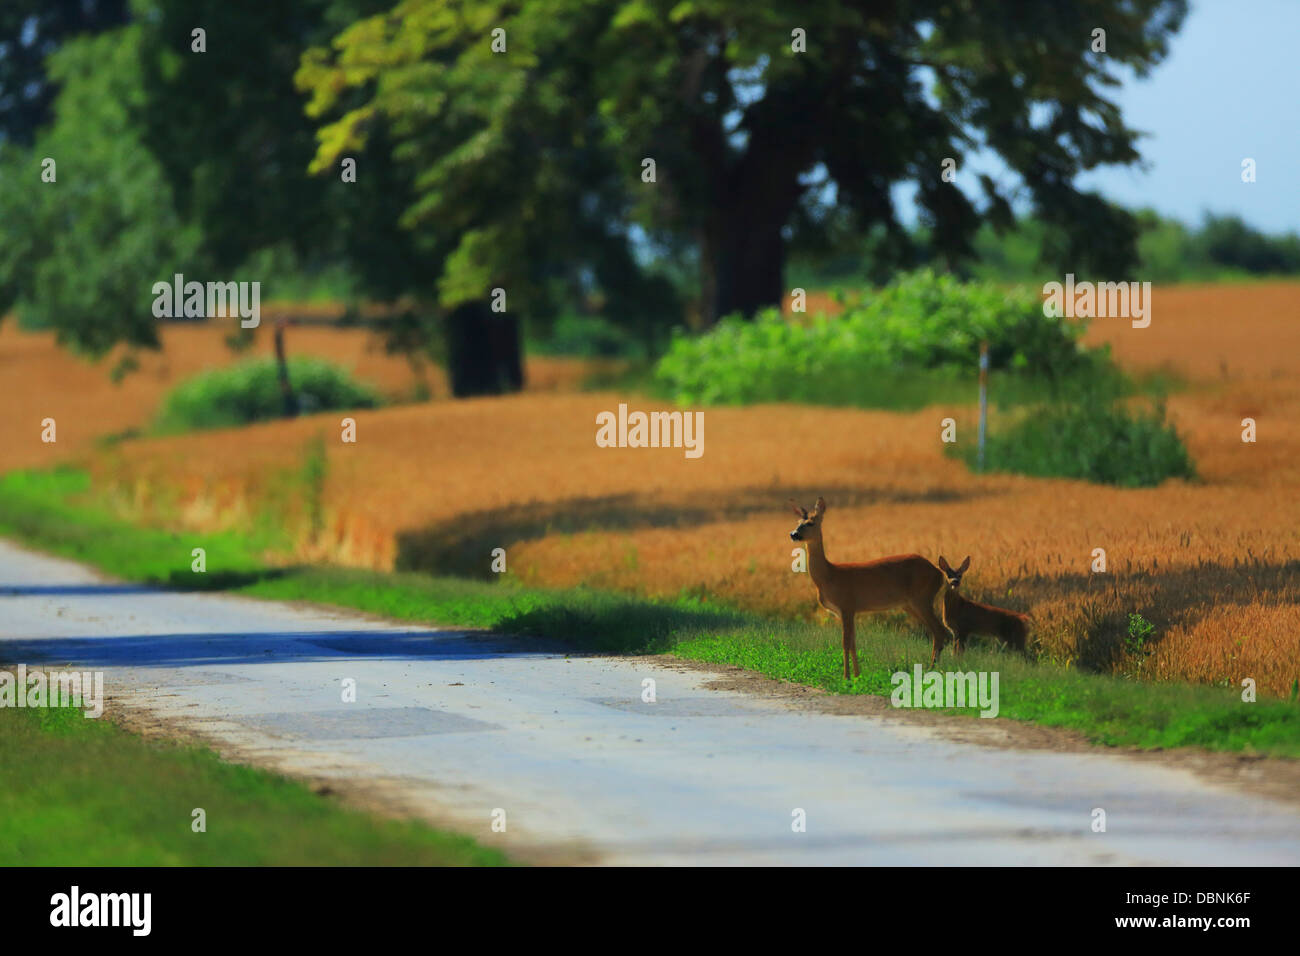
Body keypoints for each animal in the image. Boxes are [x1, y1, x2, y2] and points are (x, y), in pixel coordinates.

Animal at [785, 496, 951, 676]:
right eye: (797, 522)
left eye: (810, 523)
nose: (793, 534)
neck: (829, 576)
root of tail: (939, 574)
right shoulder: (846, 611)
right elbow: (853, 642)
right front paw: (857, 675)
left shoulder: (847, 605)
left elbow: (845, 642)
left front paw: (846, 676)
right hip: (910, 604)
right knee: (940, 632)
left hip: (922, 598)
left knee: (940, 631)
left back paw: (932, 668)